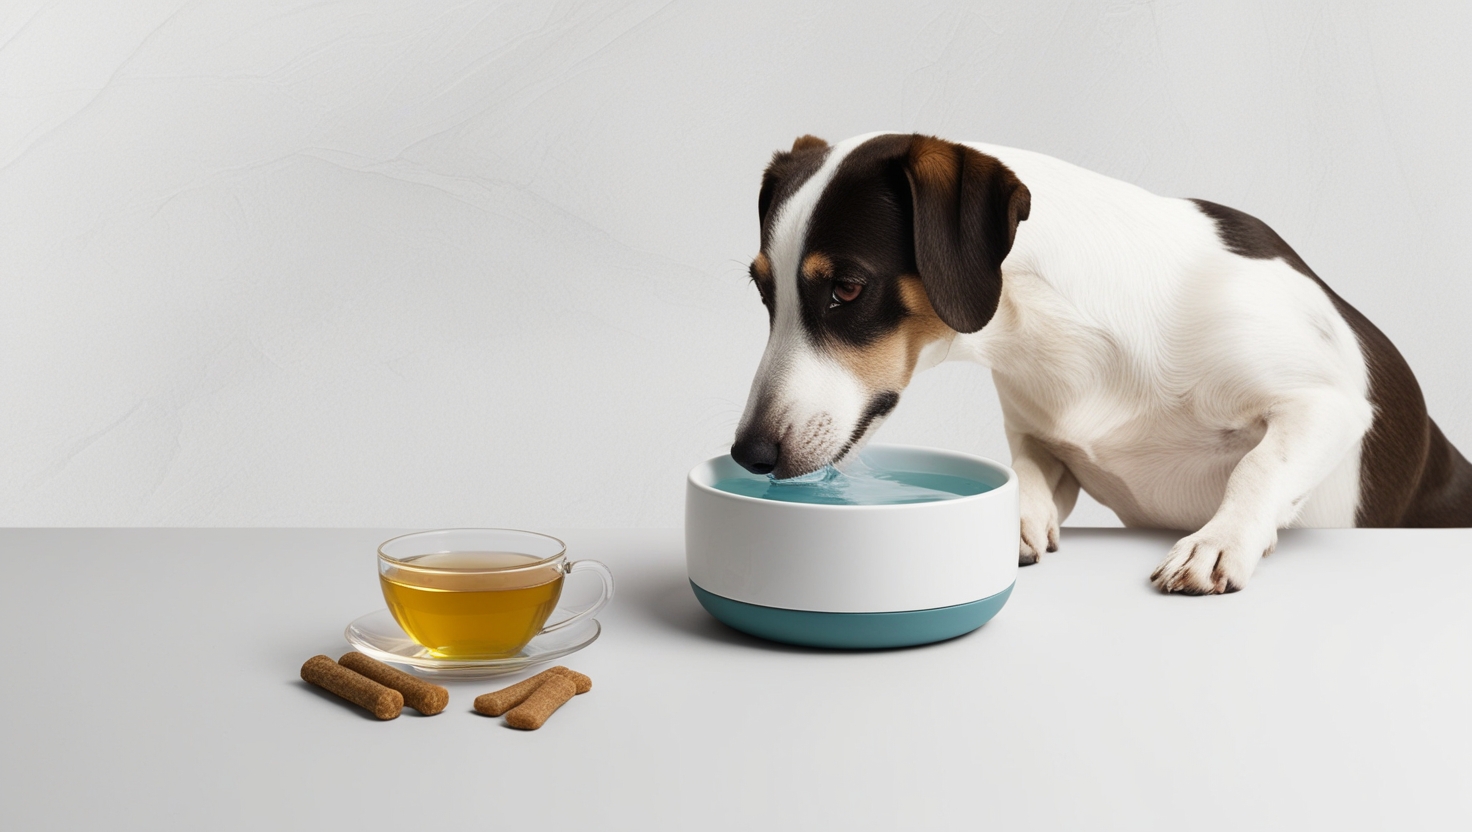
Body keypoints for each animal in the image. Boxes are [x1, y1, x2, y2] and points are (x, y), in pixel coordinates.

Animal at [727, 133, 1472, 594]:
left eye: (848, 288)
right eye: (763, 289)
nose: (750, 454)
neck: (1070, 329)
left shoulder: (1327, 405)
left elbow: (1260, 467)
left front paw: (1220, 542)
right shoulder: (1039, 439)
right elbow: (1026, 476)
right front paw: (1016, 522)